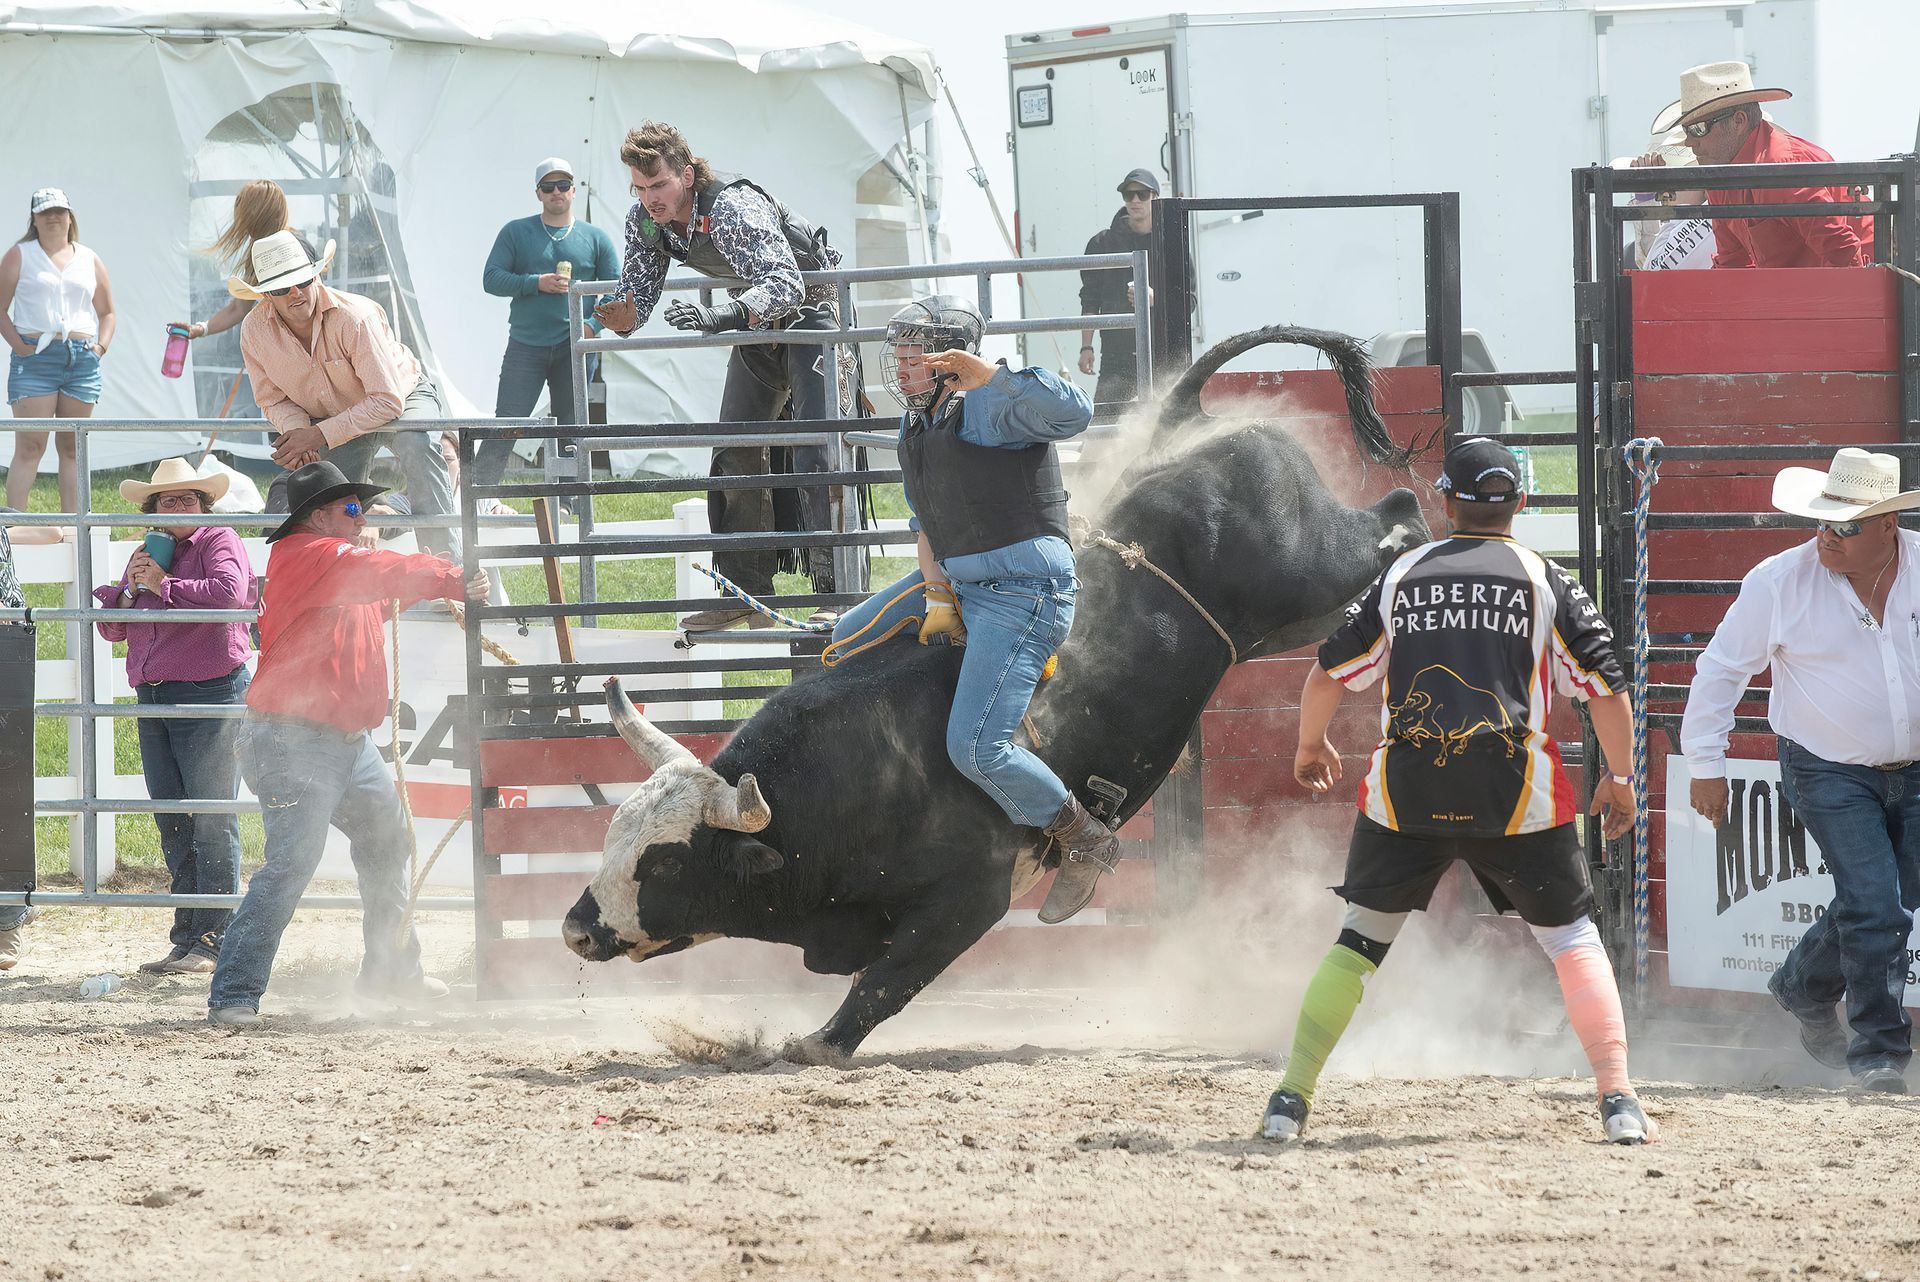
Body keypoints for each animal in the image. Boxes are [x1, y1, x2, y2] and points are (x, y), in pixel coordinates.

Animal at [562, 325, 1432, 1061]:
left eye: (665, 865)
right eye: (611, 839)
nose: (575, 929)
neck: (840, 785)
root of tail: (1198, 430)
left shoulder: (968, 898)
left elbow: (890, 982)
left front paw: (819, 1044)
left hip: (1311, 563)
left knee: (1394, 512)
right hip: (1278, 623)